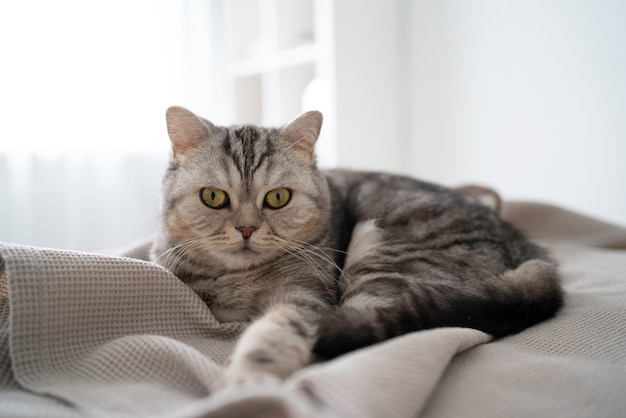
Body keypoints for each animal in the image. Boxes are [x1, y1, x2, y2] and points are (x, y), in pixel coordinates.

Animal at [150, 106, 560, 386]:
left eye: (278, 198)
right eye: (214, 197)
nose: (247, 229)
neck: (238, 280)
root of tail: (532, 257)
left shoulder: (303, 295)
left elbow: (272, 336)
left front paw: (250, 380)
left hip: (381, 256)